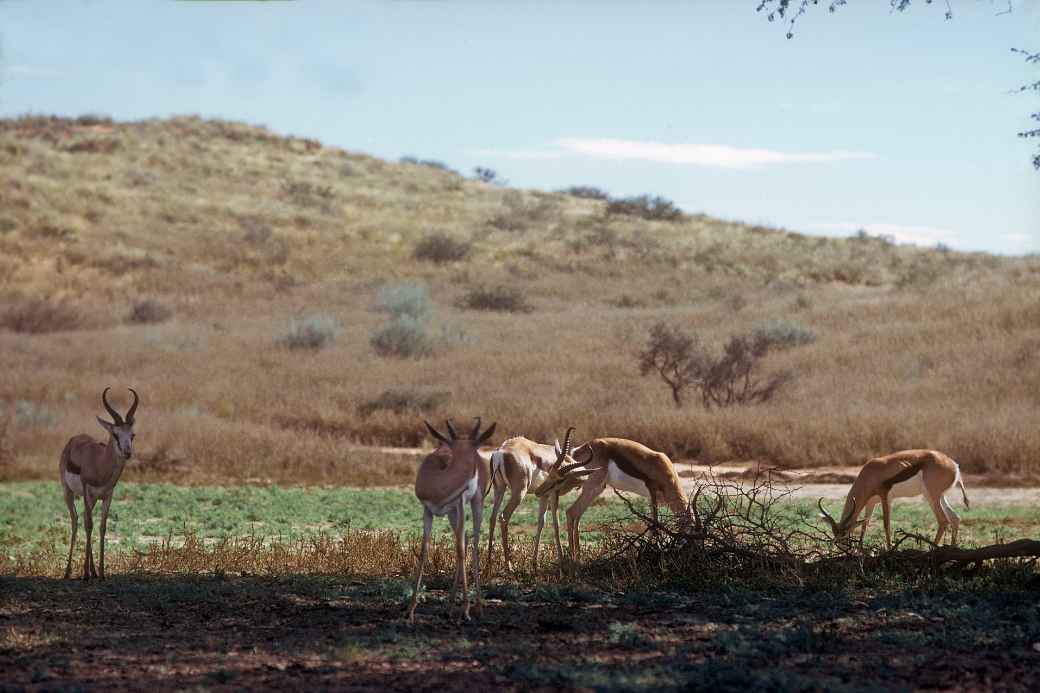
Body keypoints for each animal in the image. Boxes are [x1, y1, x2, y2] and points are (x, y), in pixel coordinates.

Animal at [59, 389, 139, 578]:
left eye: (132, 435)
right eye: (115, 434)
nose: (127, 453)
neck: (100, 465)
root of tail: (74, 439)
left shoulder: (107, 496)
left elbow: (102, 527)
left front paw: (101, 573)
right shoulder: (87, 492)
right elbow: (89, 525)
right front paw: (85, 574)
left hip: (92, 499)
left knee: (84, 519)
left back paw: (93, 571)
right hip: (68, 492)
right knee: (76, 520)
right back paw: (69, 572)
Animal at [407, 418, 497, 624]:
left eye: (476, 447)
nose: (475, 473)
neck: (438, 483)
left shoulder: (461, 503)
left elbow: (460, 550)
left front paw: (465, 610)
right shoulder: (428, 510)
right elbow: (424, 551)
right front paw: (410, 610)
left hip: (476, 503)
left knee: (473, 544)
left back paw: (477, 607)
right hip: (452, 514)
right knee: (464, 541)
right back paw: (448, 607)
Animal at [486, 428, 578, 570]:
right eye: (559, 479)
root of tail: (500, 453)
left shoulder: (544, 496)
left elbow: (541, 522)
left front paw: (535, 563)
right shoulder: (553, 493)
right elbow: (556, 524)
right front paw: (562, 560)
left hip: (499, 489)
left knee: (492, 517)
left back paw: (488, 565)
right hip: (519, 493)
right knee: (503, 517)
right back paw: (509, 566)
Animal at [536, 437, 690, 561]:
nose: (538, 491)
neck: (666, 472)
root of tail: (578, 451)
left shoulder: (652, 498)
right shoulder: (653, 495)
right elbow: (654, 525)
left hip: (595, 489)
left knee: (574, 513)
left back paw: (575, 558)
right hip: (591, 487)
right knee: (571, 512)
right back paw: (574, 560)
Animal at [815, 447, 969, 549]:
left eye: (845, 533)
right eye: (835, 533)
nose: (841, 548)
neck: (869, 474)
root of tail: (954, 465)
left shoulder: (885, 498)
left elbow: (886, 524)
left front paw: (889, 549)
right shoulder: (871, 502)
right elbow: (865, 524)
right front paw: (859, 550)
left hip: (932, 496)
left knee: (943, 520)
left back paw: (931, 550)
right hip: (938, 496)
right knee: (955, 518)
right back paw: (952, 550)